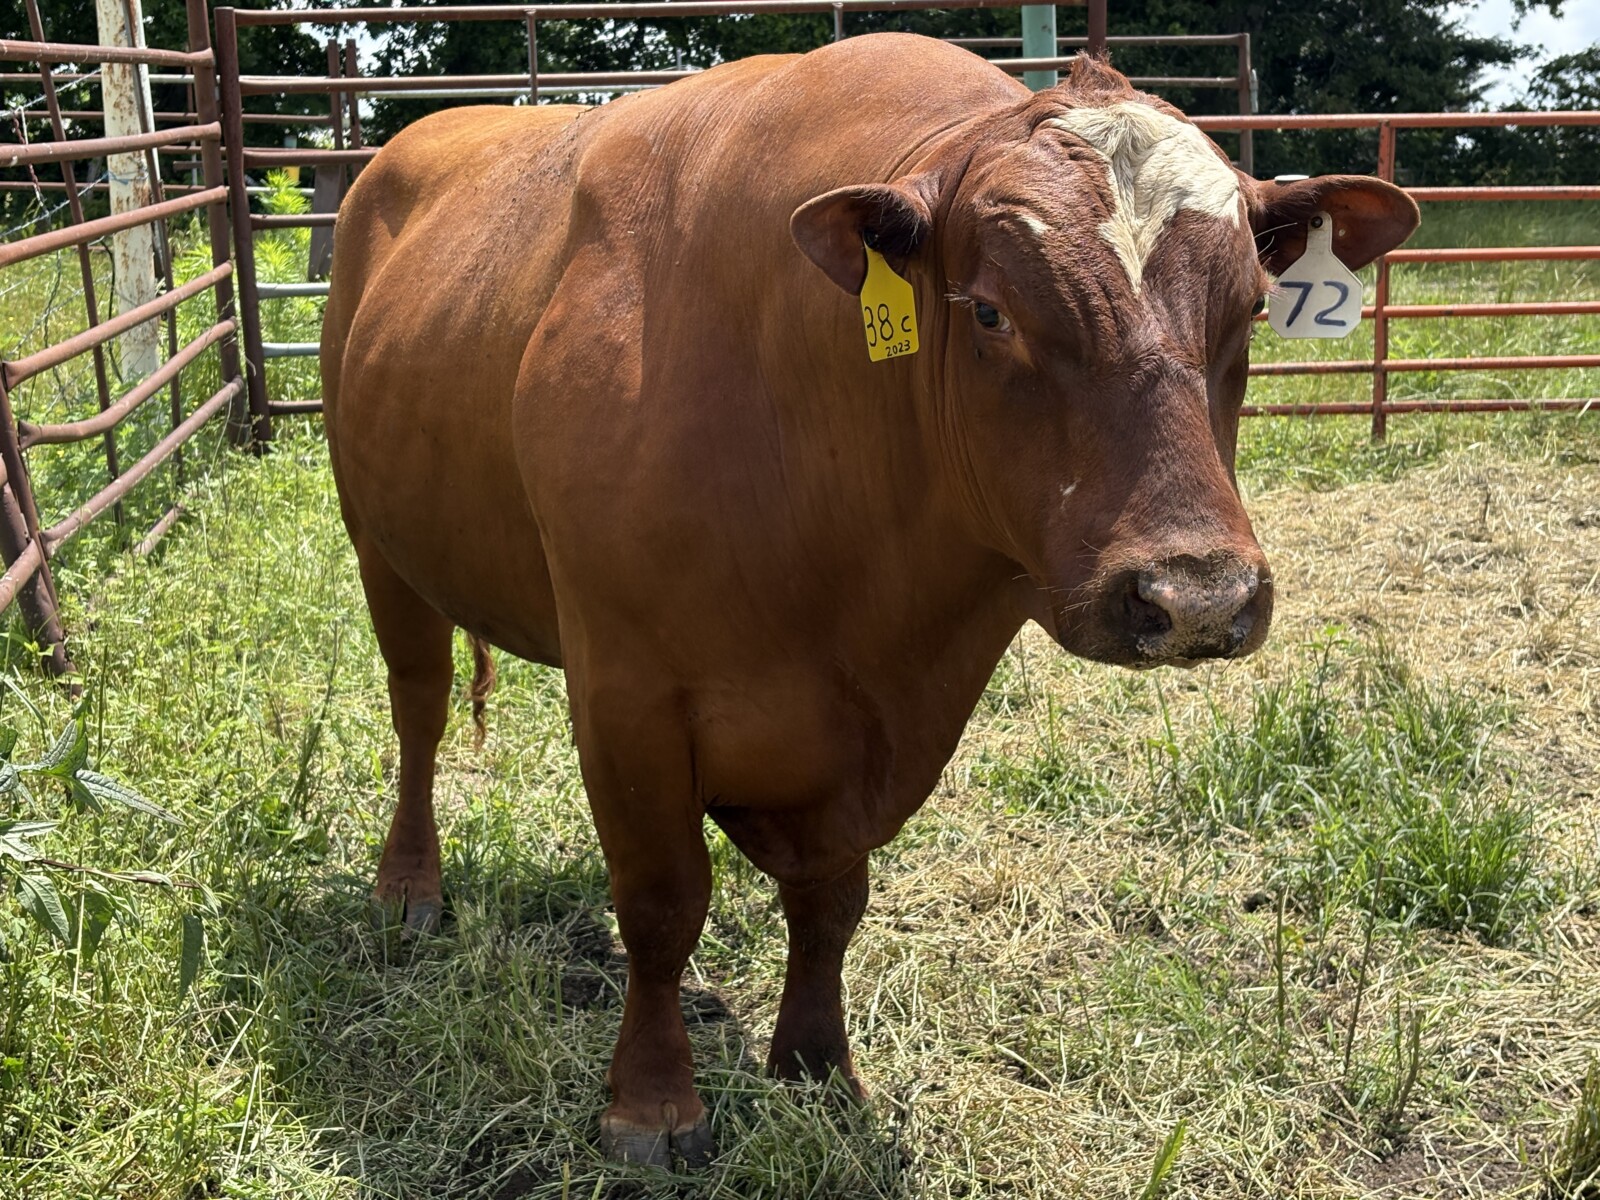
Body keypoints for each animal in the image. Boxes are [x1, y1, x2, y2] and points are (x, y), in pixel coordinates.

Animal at [320, 35, 1418, 1167]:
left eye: (1249, 311)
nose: (1197, 595)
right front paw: (653, 1104)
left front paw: (815, 1065)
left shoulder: (895, 714)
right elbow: (663, 902)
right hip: (376, 541)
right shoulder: (627, 692)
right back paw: (408, 888)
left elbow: (832, 898)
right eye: (990, 311)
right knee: (418, 708)